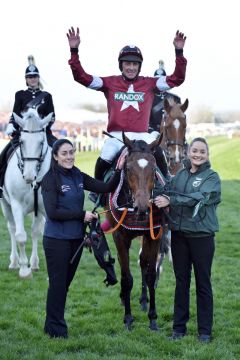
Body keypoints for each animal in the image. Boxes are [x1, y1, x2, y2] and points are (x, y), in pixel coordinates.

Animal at [0, 109, 52, 278]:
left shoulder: (45, 208)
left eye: (41, 142)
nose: (29, 176)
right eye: (22, 141)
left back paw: (34, 263)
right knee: (12, 228)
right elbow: (21, 236)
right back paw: (15, 262)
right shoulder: (16, 205)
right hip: (5, 205)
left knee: (35, 232)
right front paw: (24, 270)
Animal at [106, 132, 166, 330]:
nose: (143, 207)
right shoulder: (119, 237)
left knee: (143, 262)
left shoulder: (154, 235)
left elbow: (151, 274)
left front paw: (153, 317)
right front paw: (128, 318)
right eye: (128, 168)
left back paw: (143, 300)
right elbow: (126, 278)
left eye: (154, 168)